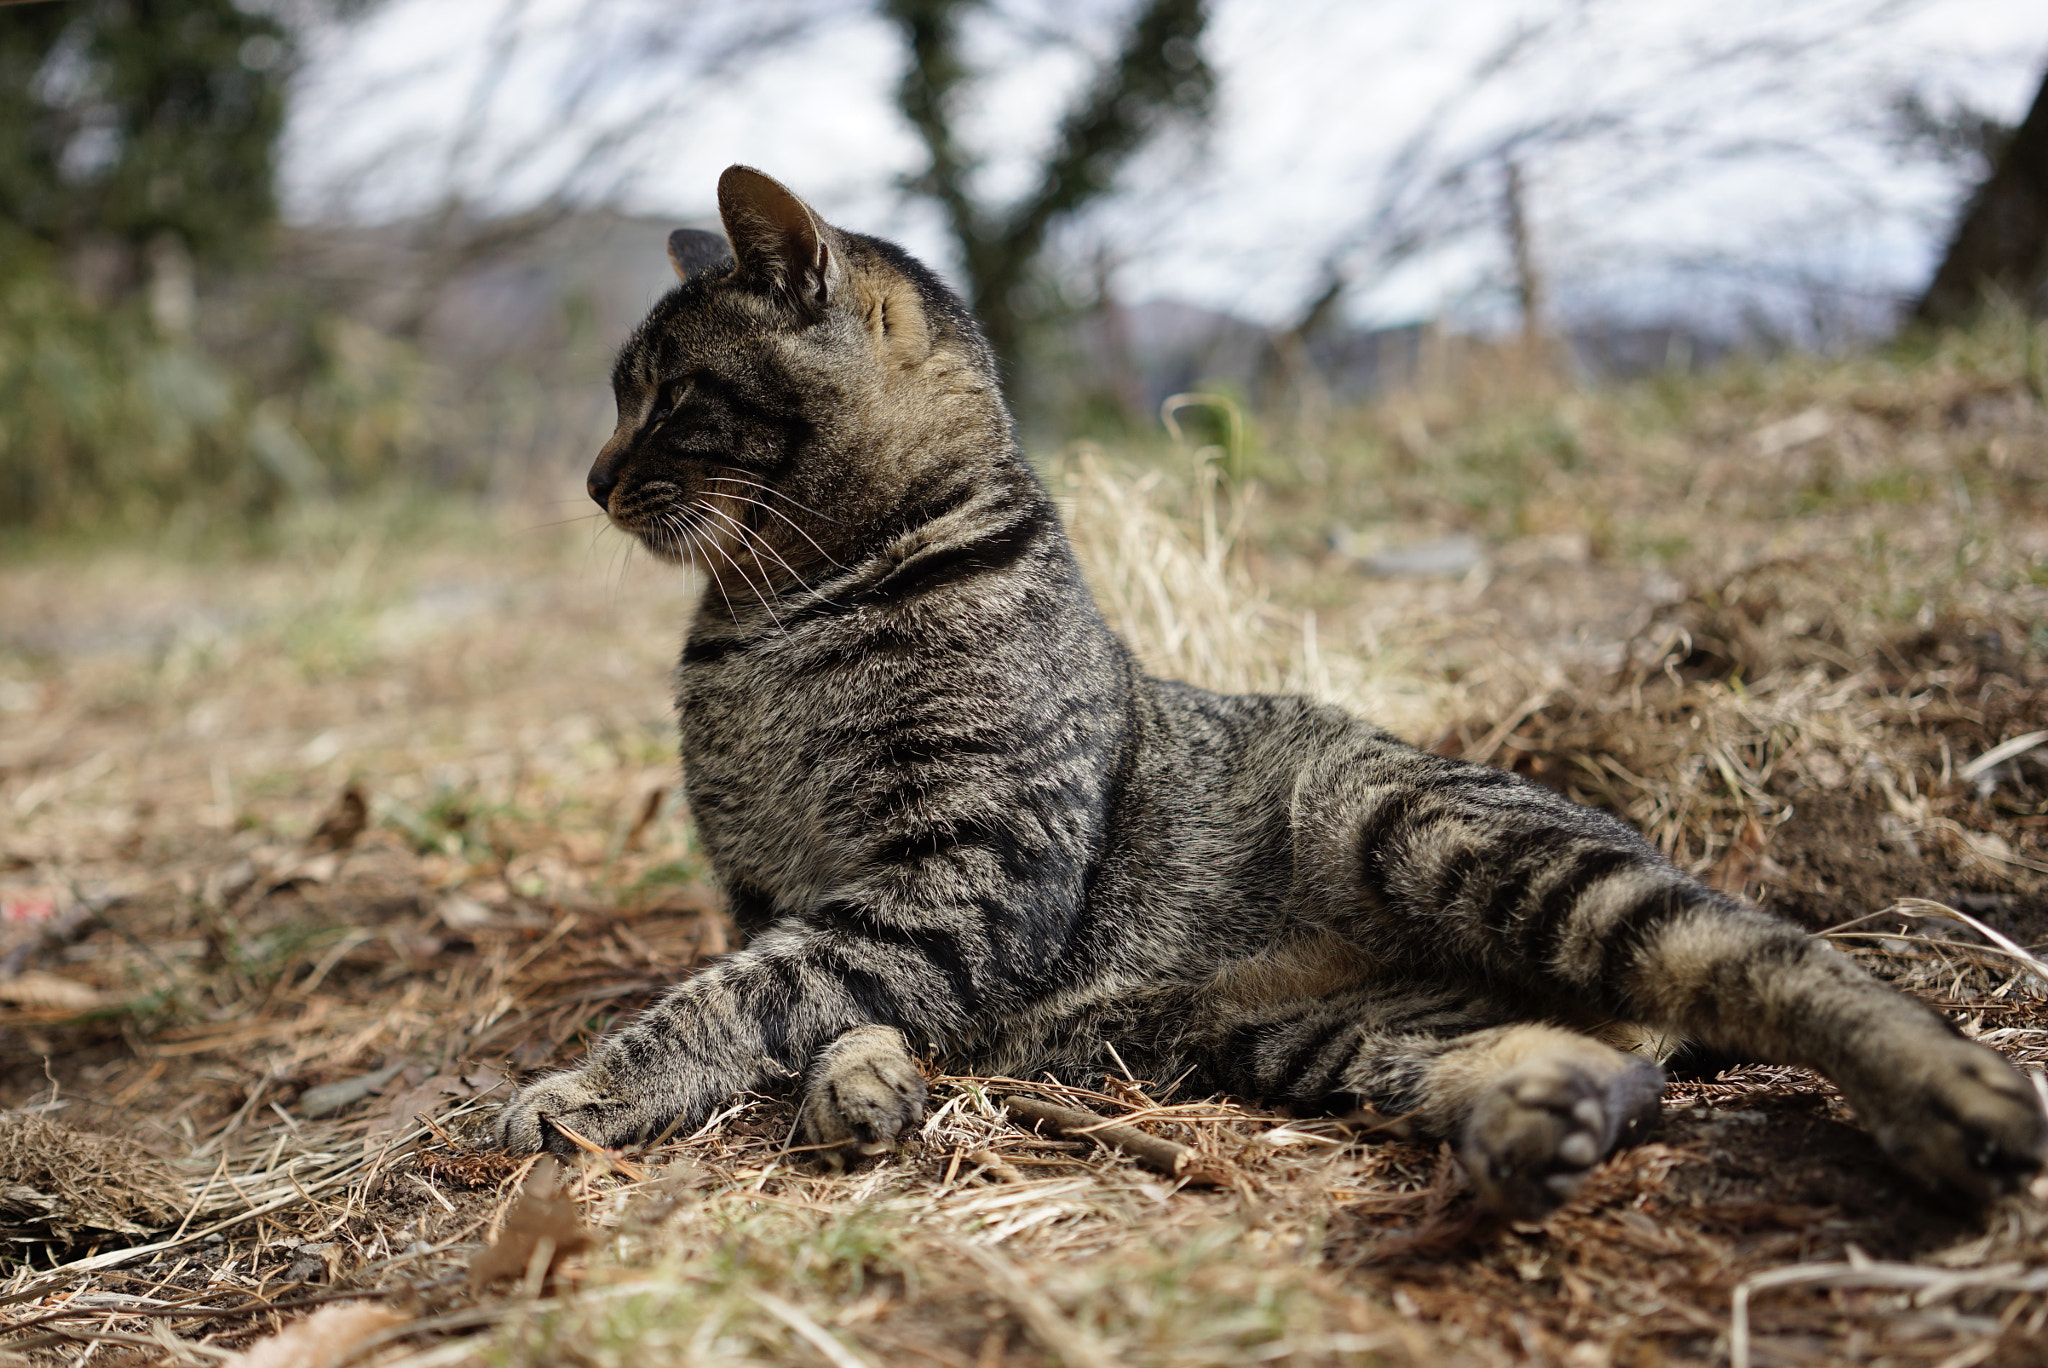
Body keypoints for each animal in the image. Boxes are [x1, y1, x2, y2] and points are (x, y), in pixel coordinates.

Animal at [499, 162, 2048, 1220]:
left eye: (668, 395)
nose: (589, 478)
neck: (766, 619)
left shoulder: (954, 883)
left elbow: (740, 998)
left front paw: (578, 1090)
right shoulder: (789, 889)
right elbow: (804, 994)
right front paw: (858, 1085)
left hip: (1456, 843)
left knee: (1768, 962)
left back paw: (1954, 1102)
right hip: (1349, 1031)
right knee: (1612, 1051)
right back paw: (1532, 1125)